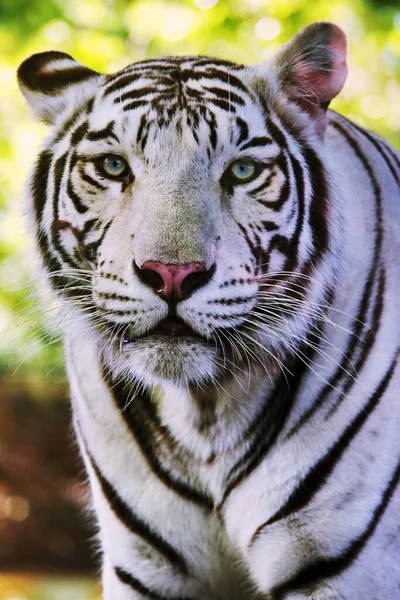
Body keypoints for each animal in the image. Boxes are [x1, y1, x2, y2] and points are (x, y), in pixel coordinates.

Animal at [17, 22, 398, 600]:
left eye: (241, 171)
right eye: (113, 166)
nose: (172, 275)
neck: (204, 411)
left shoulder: (344, 566)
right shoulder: (146, 567)